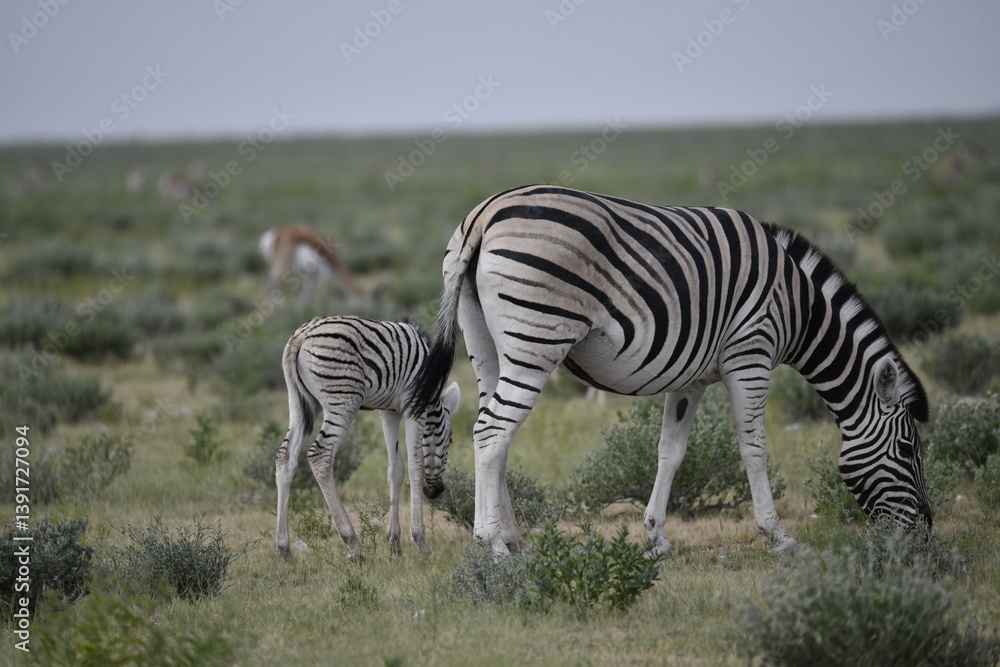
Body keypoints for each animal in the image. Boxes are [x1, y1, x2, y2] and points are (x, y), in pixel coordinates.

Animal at [275, 315, 460, 561]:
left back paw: (284, 550)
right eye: (449, 441)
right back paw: (353, 544)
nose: (435, 491)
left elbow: (395, 470)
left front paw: (394, 545)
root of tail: (301, 335)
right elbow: (416, 468)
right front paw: (421, 544)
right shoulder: (413, 405)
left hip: (300, 403)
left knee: (285, 457)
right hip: (344, 399)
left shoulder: (388, 412)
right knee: (320, 455)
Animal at [407, 184, 931, 556]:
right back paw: (493, 545)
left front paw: (657, 537)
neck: (798, 306)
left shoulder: (692, 379)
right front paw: (778, 536)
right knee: (492, 431)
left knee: (494, 435)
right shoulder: (751, 354)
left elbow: (670, 452)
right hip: (536, 338)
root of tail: (483, 214)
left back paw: (514, 538)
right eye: (909, 449)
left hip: (486, 342)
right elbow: (755, 448)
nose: (924, 531)